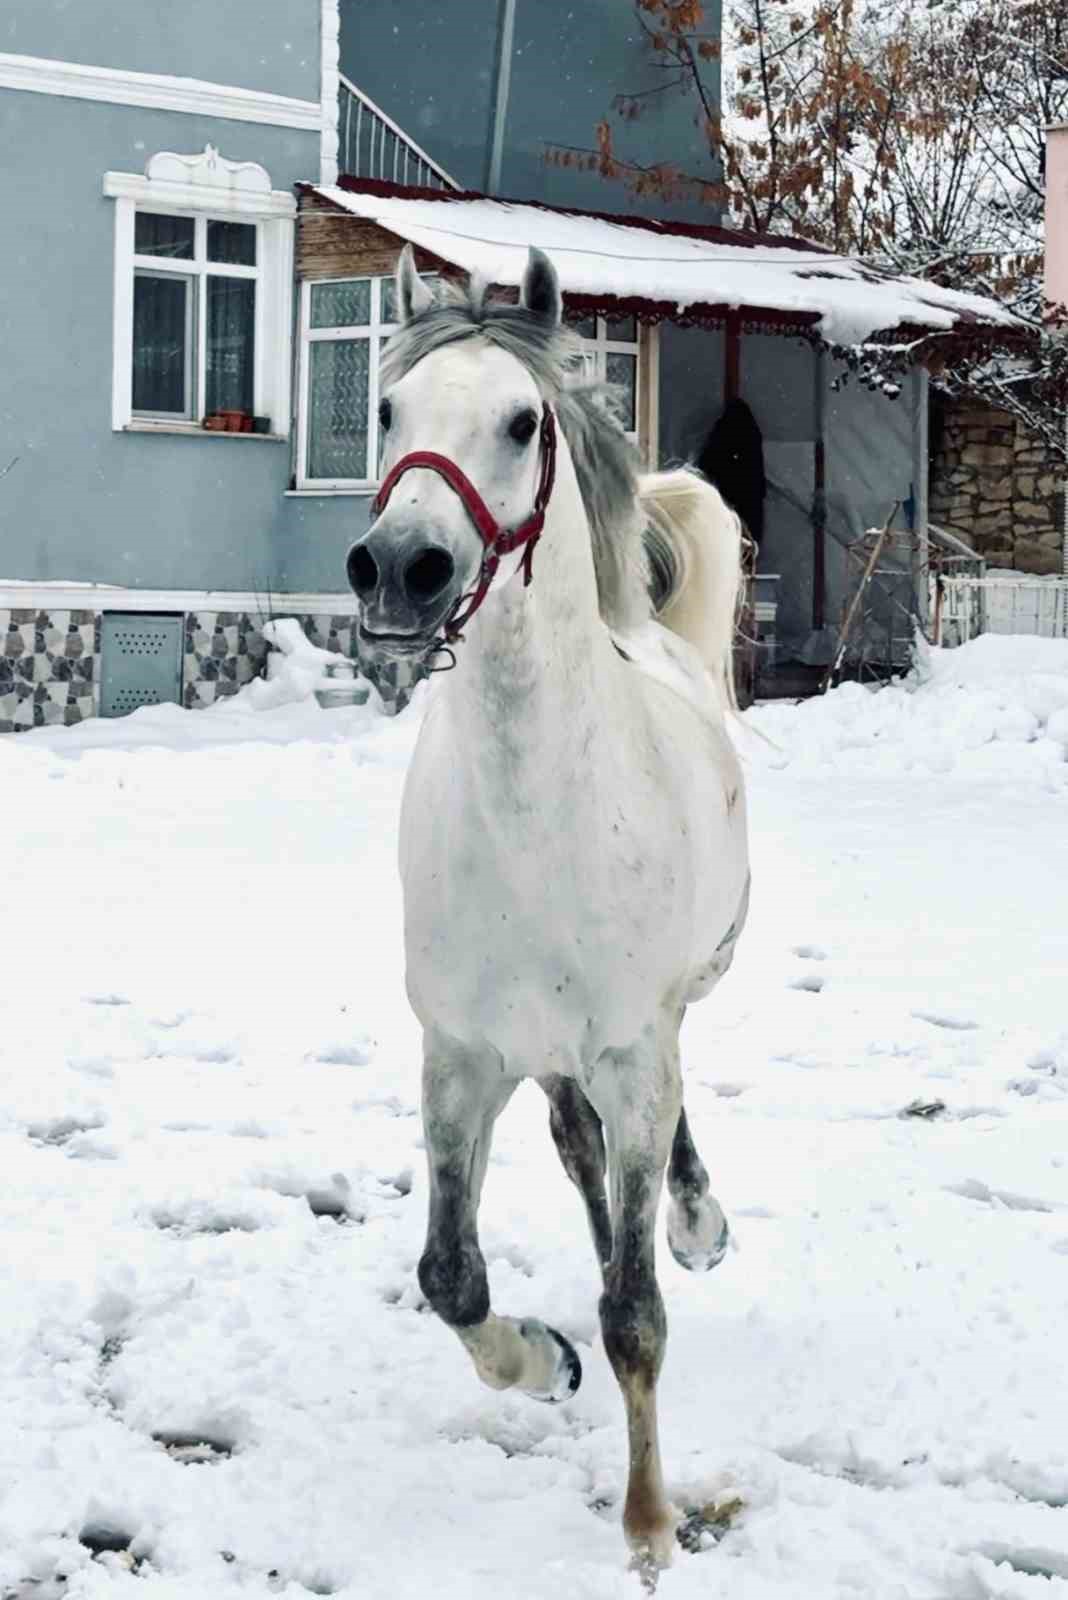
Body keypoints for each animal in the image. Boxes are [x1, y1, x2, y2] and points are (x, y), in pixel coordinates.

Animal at [346, 249, 748, 1574]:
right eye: (385, 409)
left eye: (524, 421)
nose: (401, 569)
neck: (538, 815)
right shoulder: (461, 1058)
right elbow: (450, 1277)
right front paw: (542, 1360)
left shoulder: (632, 1049)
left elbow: (636, 1314)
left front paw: (651, 1524)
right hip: (554, 1059)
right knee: (579, 1157)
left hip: (663, 1021)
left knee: (652, 1150)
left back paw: (697, 1220)